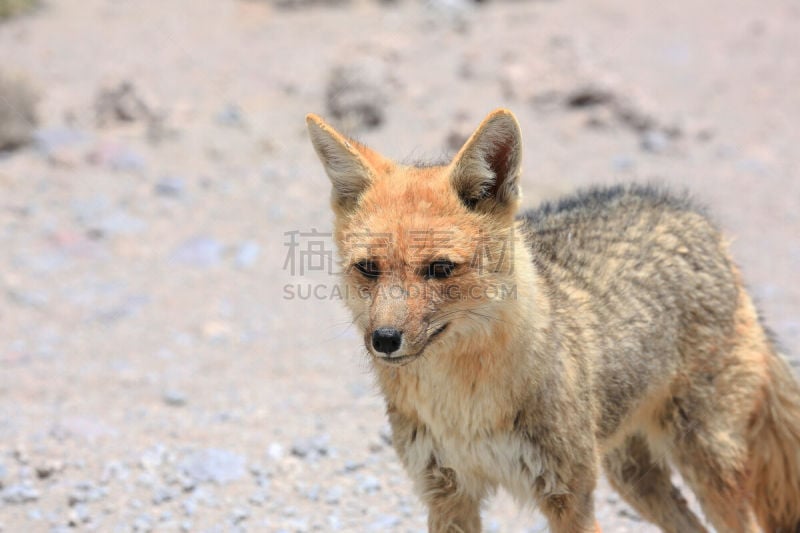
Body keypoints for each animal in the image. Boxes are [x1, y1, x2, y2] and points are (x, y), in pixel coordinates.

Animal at [304, 109, 800, 532]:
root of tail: (697, 219)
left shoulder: (569, 496)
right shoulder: (448, 495)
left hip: (705, 464)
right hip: (632, 476)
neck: (465, 406)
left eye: (440, 269)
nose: (384, 340)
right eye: (369, 268)